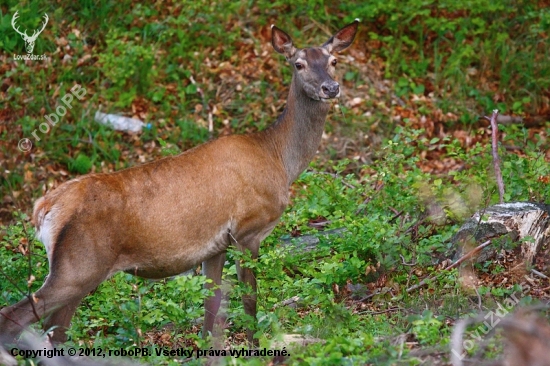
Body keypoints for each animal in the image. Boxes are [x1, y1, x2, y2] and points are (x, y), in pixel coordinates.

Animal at [0, 20, 360, 346]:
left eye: (333, 61)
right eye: (298, 64)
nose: (330, 88)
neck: (279, 159)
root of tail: (45, 207)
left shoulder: (216, 246)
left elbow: (211, 308)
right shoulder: (249, 230)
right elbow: (249, 300)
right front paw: (257, 348)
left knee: (53, 330)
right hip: (78, 267)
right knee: (16, 317)